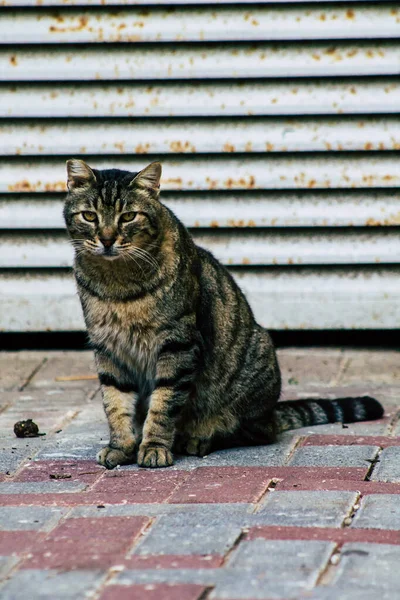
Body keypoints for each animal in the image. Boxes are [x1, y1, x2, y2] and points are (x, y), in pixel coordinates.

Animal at [64, 159, 382, 468]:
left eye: (128, 216)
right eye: (89, 216)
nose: (107, 239)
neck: (116, 284)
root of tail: (272, 410)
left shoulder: (178, 344)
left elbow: (163, 405)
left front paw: (154, 447)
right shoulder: (108, 348)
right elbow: (115, 403)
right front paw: (120, 447)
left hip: (253, 365)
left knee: (255, 431)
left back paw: (198, 439)